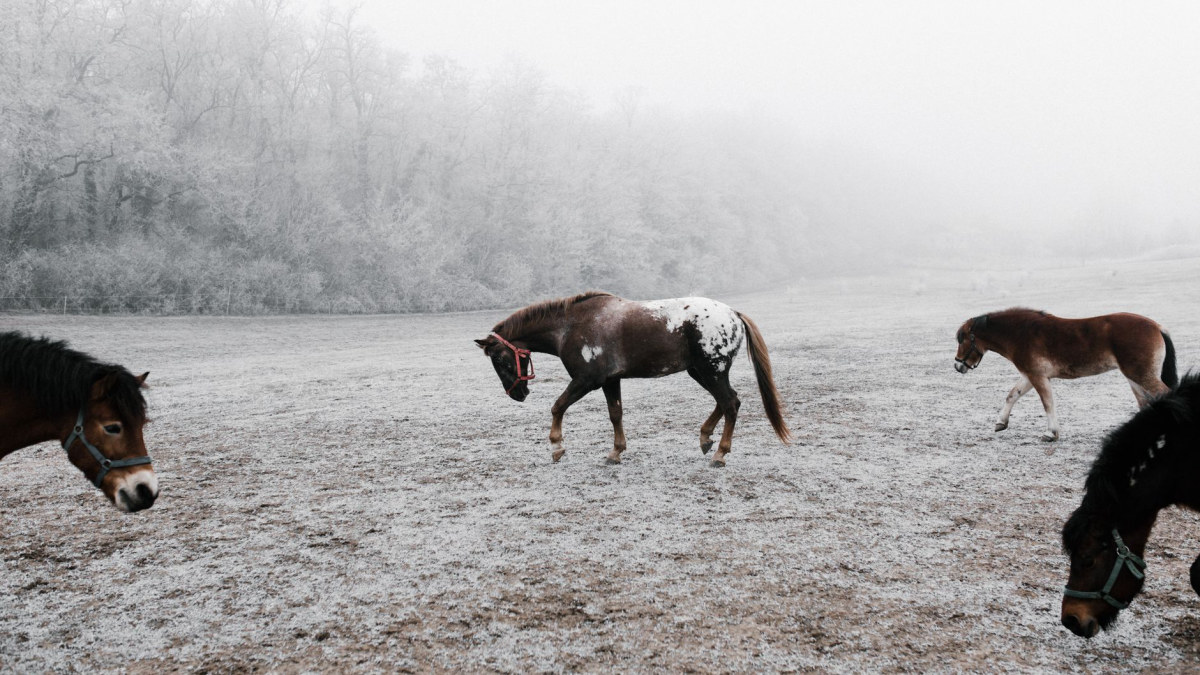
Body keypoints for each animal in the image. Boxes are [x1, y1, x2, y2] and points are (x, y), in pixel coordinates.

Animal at [475, 291, 791, 467]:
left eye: (500, 360)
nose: (518, 394)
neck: (571, 325)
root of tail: (733, 314)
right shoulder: (610, 380)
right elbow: (615, 414)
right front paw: (616, 452)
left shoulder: (587, 379)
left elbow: (558, 406)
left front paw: (557, 447)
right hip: (701, 372)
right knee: (726, 402)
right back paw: (705, 438)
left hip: (711, 371)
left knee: (730, 404)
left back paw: (720, 454)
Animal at [954, 308, 1176, 441]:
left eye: (962, 339)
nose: (957, 365)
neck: (1021, 334)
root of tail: (1157, 327)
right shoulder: (1029, 376)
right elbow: (1012, 395)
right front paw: (1001, 422)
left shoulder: (1037, 376)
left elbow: (1047, 403)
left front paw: (1050, 433)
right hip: (1134, 378)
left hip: (1141, 376)